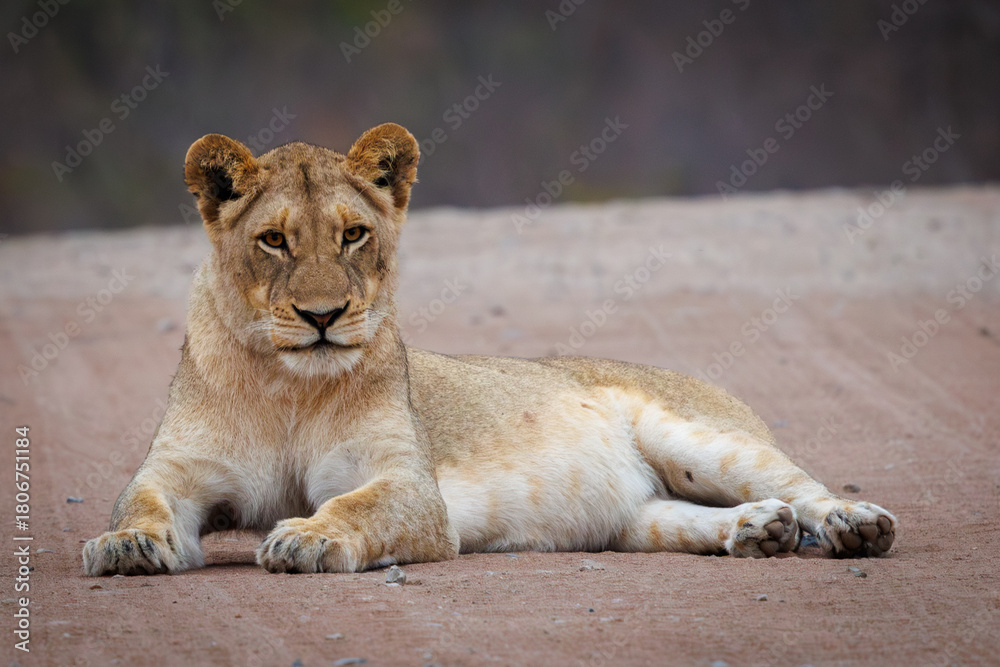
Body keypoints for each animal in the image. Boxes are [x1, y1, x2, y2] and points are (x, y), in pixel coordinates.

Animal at [83, 123, 896, 576]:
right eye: (274, 239)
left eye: (354, 234)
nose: (323, 316)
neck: (287, 384)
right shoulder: (176, 472)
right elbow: (141, 504)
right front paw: (123, 547)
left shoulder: (410, 486)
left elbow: (354, 504)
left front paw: (305, 539)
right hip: (635, 519)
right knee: (684, 514)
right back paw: (759, 530)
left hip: (701, 438)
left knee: (805, 485)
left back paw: (853, 524)